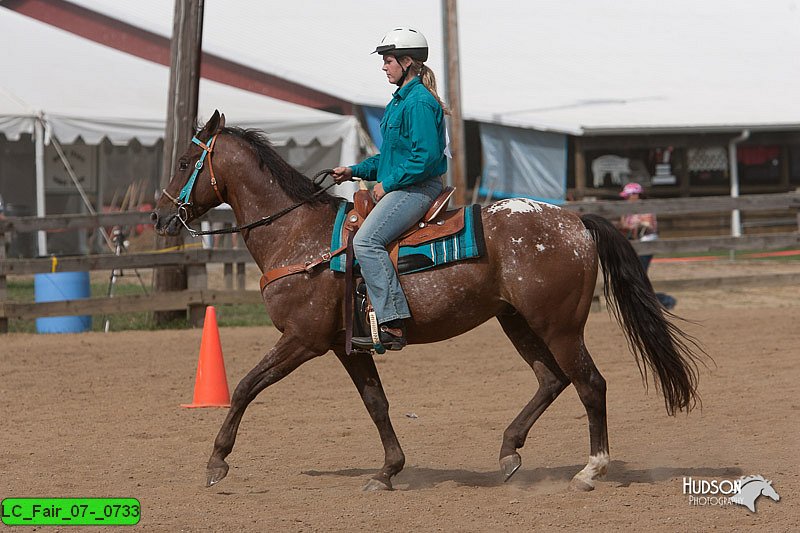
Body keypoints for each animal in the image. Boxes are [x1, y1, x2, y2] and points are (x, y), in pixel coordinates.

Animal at [153, 111, 704, 490]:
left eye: (184, 161)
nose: (159, 217)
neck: (299, 237)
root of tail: (576, 222)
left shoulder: (301, 340)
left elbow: (246, 386)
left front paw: (217, 461)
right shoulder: (345, 345)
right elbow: (376, 403)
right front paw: (388, 471)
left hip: (559, 326)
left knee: (590, 383)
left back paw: (591, 470)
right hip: (517, 321)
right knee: (552, 379)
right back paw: (508, 452)